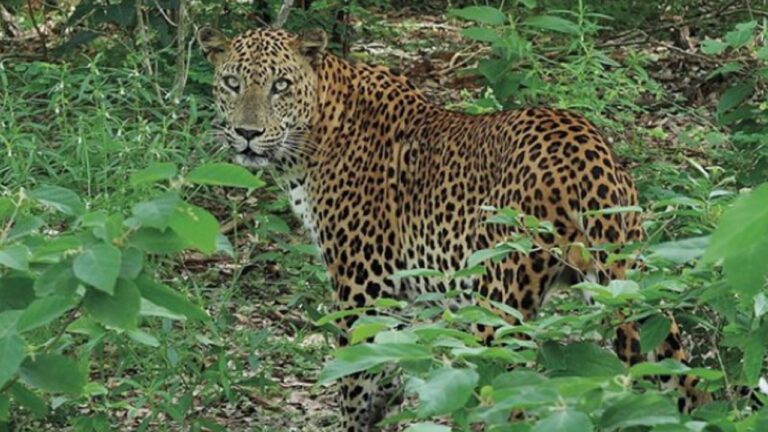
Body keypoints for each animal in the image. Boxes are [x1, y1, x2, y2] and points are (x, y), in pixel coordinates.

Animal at [197, 26, 709, 431]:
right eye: (232, 82)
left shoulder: (363, 286)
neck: (316, 132)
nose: (246, 133)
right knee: (684, 382)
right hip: (629, 283)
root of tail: (587, 154)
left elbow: (356, 381)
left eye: (280, 85)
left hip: (499, 306)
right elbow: (395, 370)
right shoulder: (409, 297)